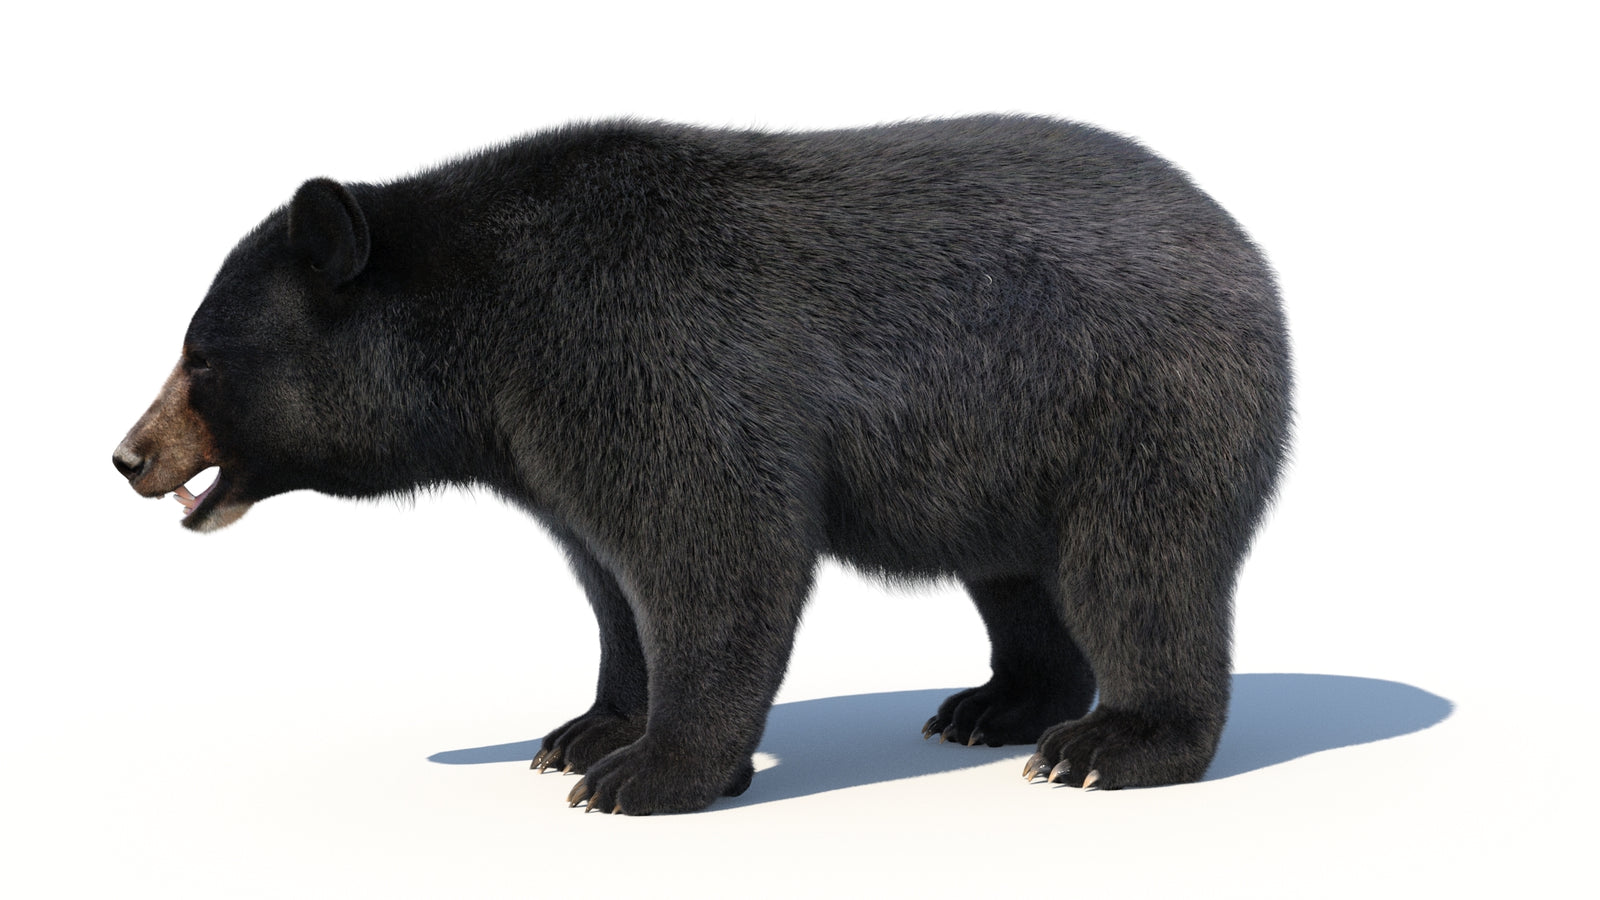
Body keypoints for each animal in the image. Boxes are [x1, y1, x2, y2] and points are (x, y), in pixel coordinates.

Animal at [113, 116, 1292, 815]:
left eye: (202, 356)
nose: (129, 455)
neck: (485, 335)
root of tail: (1238, 240)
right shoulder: (549, 443)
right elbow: (610, 580)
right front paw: (588, 730)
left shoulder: (640, 351)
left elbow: (716, 546)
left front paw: (647, 772)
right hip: (1010, 454)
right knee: (1018, 577)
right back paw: (996, 707)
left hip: (1142, 396)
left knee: (1140, 567)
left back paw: (1111, 743)